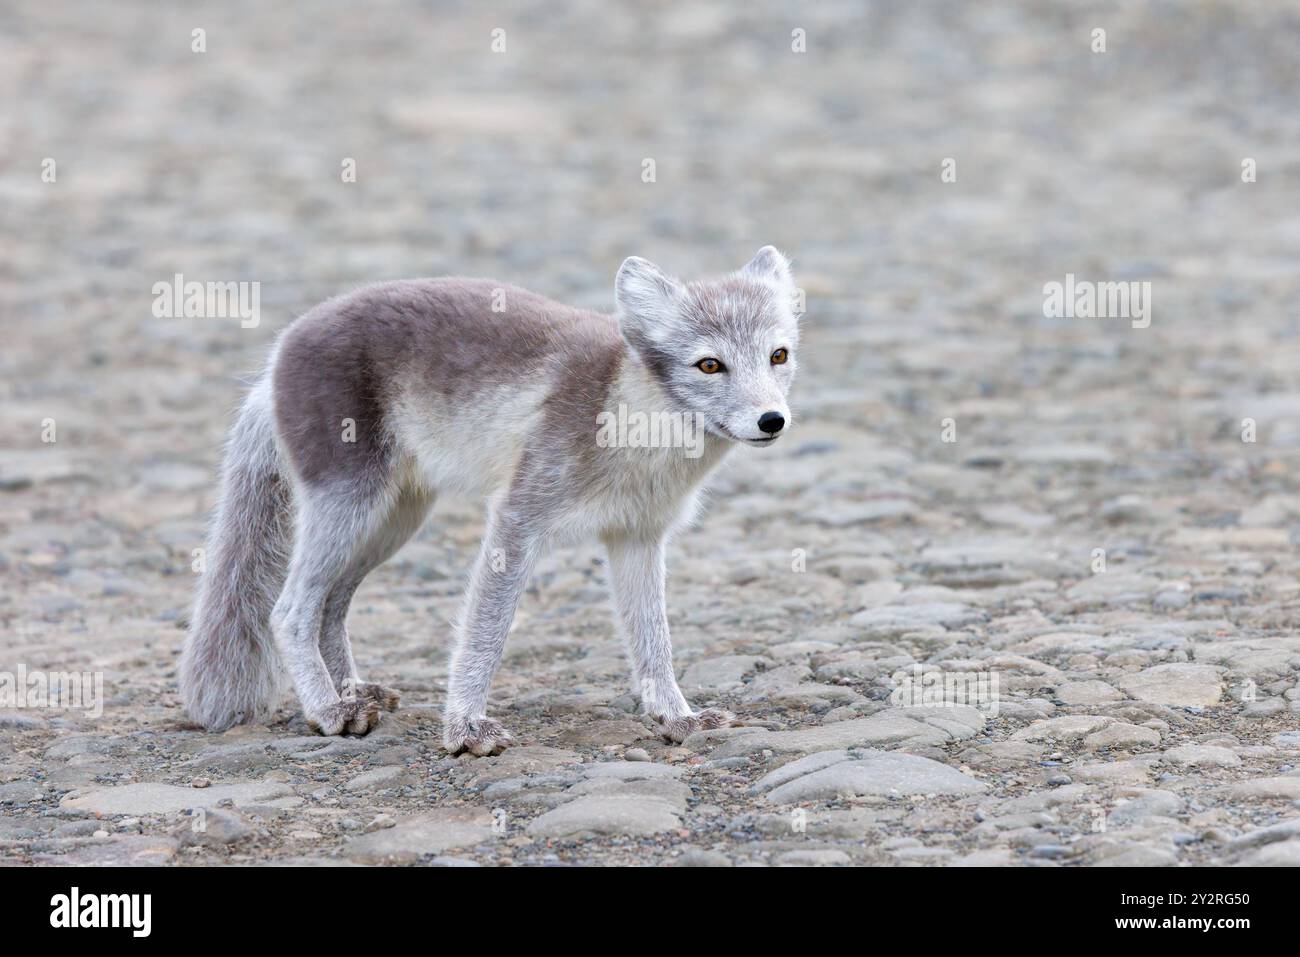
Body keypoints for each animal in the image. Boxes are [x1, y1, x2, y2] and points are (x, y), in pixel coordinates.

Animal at [178, 247, 799, 756]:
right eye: (709, 364)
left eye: (778, 355)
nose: (773, 420)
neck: (634, 426)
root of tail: (275, 356)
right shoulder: (518, 519)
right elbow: (487, 631)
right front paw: (464, 729)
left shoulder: (638, 536)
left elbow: (654, 641)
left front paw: (677, 719)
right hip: (349, 505)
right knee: (290, 610)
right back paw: (330, 710)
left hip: (394, 521)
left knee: (331, 604)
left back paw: (353, 692)